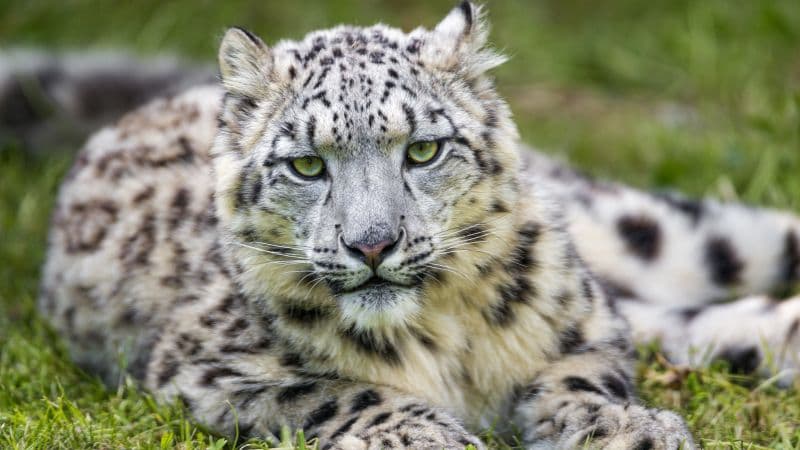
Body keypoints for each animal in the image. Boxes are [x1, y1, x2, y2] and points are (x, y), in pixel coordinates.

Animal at [37, 2, 800, 448]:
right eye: (307, 164)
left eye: (424, 150)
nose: (373, 244)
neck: (443, 335)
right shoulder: (209, 366)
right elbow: (332, 390)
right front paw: (426, 435)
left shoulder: (584, 322)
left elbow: (581, 373)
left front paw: (627, 429)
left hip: (638, 230)